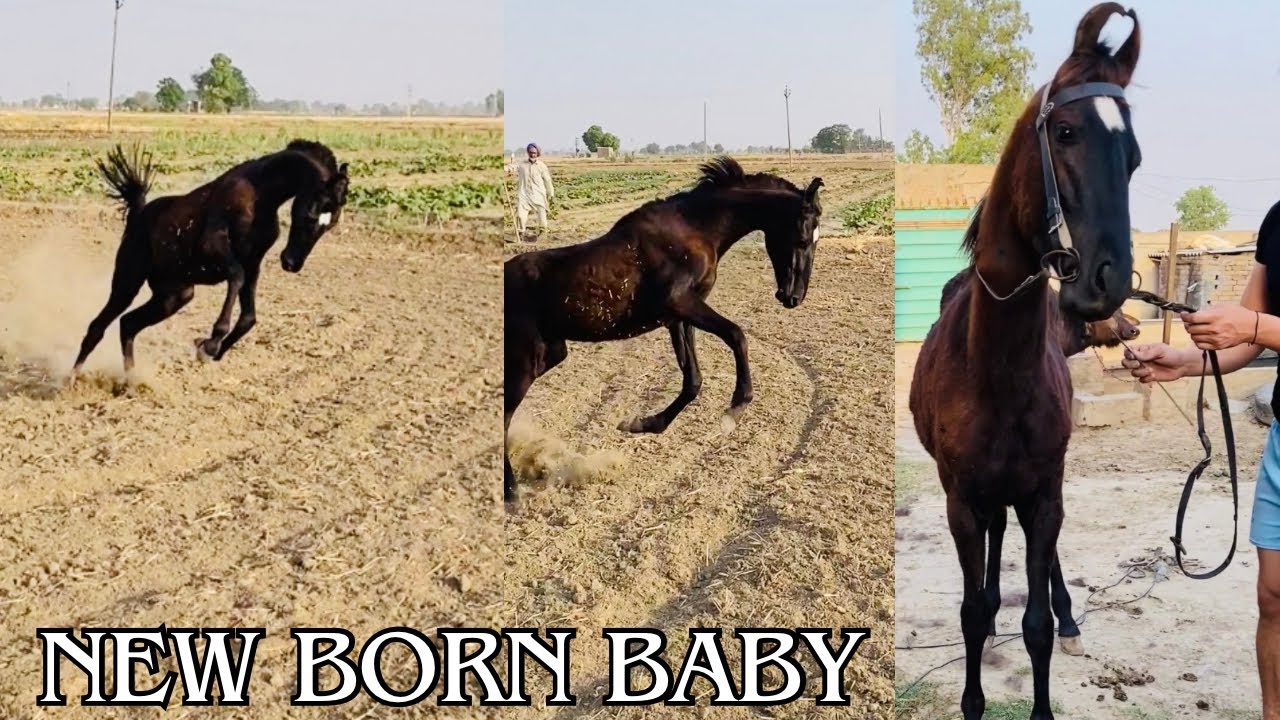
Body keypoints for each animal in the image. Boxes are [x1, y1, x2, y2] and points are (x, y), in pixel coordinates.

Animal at [70, 140, 350, 378]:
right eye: (309, 216)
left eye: (330, 224)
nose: (291, 263)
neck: (259, 192)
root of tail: (138, 212)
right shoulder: (214, 247)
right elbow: (236, 277)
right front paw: (211, 343)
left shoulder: (253, 262)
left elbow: (249, 317)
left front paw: (211, 350)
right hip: (128, 281)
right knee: (98, 326)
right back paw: (72, 379)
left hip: (174, 295)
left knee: (128, 324)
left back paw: (131, 383)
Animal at [504, 157, 823, 504]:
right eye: (802, 240)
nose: (792, 297)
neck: (694, 229)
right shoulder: (681, 302)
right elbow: (736, 335)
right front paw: (734, 410)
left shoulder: (678, 317)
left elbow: (692, 380)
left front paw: (642, 424)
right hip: (526, 360)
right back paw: (510, 491)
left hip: (550, 353)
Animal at [909, 4, 1141, 718]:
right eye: (1065, 132)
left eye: (1133, 156)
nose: (1107, 281)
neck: (999, 371)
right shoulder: (961, 500)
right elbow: (970, 615)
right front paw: (974, 690)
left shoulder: (1044, 494)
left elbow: (1033, 623)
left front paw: (1054, 625)